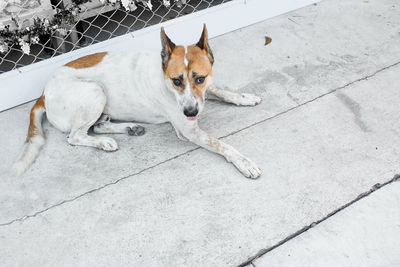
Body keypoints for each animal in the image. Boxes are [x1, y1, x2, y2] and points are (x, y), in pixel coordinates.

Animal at [12, 25, 262, 179]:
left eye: (199, 78)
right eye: (176, 81)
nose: (190, 112)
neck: (164, 75)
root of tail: (43, 94)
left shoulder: (203, 93)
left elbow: (220, 91)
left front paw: (245, 97)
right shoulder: (188, 130)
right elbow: (222, 144)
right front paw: (244, 161)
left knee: (99, 125)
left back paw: (129, 128)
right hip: (95, 91)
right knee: (75, 137)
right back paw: (103, 143)